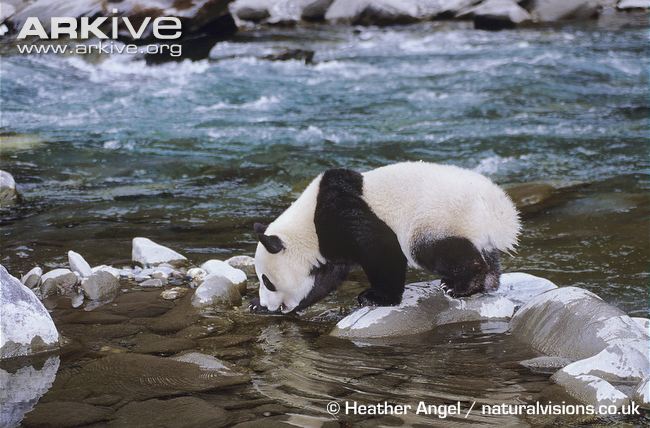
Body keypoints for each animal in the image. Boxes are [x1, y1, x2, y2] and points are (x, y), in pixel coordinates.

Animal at [248, 161, 516, 314]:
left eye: (268, 281)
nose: (270, 304)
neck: (307, 226)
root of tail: (498, 213)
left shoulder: (341, 215)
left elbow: (381, 251)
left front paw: (375, 297)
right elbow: (324, 280)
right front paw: (257, 306)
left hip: (438, 218)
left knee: (436, 251)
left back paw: (461, 285)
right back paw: (486, 282)